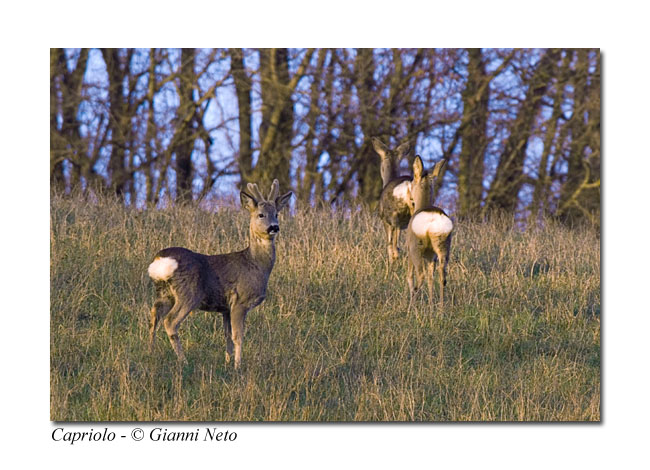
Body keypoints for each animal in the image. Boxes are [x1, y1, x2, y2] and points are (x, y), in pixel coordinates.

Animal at [147, 179, 292, 368]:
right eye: (261, 215)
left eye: (276, 214)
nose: (274, 227)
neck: (256, 264)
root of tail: (160, 260)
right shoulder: (240, 301)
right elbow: (238, 336)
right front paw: (238, 366)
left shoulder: (225, 308)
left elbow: (227, 336)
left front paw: (227, 363)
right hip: (189, 293)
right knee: (170, 321)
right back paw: (183, 361)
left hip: (164, 293)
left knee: (154, 317)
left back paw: (150, 353)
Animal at [404, 155, 450, 312]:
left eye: (412, 181)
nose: (410, 197)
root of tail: (432, 219)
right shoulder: (431, 255)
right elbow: (431, 278)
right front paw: (430, 307)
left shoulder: (409, 248)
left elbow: (409, 275)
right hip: (443, 245)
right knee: (442, 275)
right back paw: (441, 310)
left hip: (416, 246)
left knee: (420, 275)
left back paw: (410, 308)